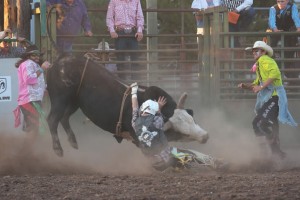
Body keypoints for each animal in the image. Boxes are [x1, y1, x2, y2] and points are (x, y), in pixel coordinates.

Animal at [46, 54, 209, 156]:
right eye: (183, 133)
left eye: (193, 120)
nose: (205, 136)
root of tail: (60, 61)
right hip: (60, 99)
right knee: (52, 120)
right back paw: (58, 149)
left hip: (73, 102)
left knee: (64, 118)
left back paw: (73, 141)